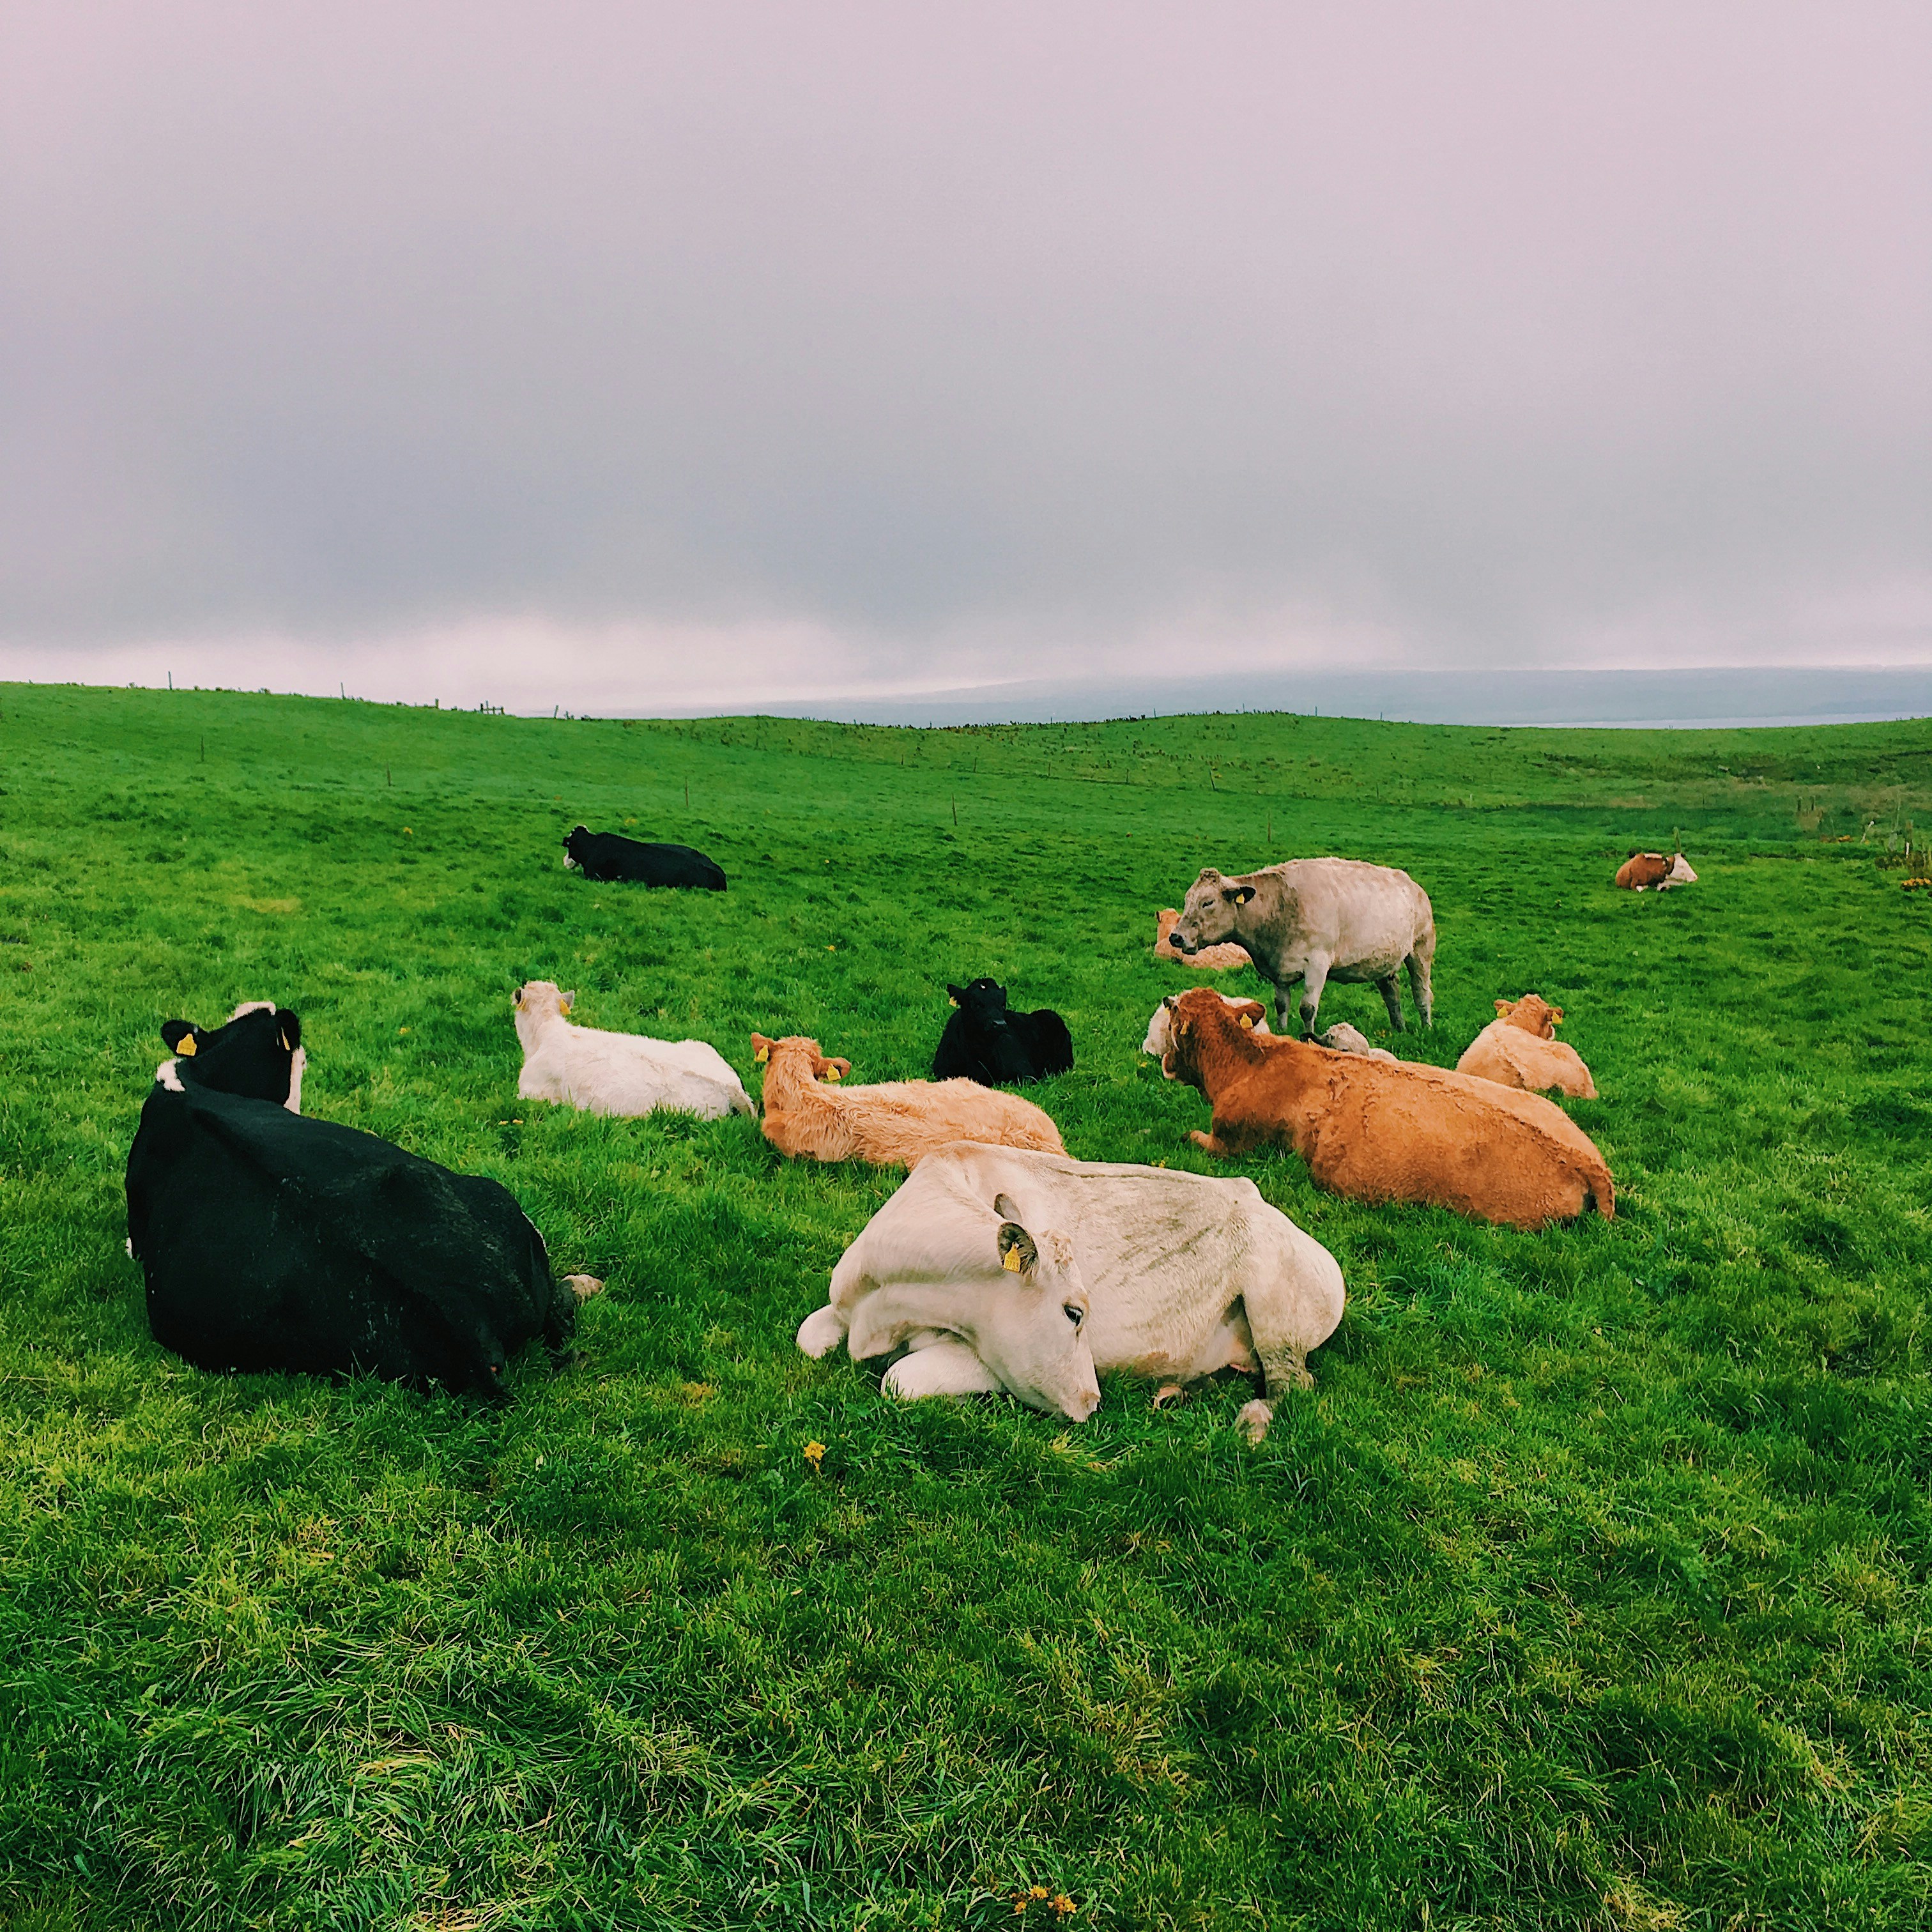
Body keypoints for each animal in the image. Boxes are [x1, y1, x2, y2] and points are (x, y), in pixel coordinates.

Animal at [795, 1143, 1346, 1443]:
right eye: (1075, 1313)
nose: (1094, 1400)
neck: (879, 1312)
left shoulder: (986, 1360)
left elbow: (899, 1380)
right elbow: (808, 1338)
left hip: (1278, 1317)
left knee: (1293, 1386)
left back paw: (1251, 1423)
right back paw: (1174, 1392)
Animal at [1169, 858, 1435, 1034]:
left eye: (1208, 902)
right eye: (1187, 900)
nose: (1176, 937)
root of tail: (1414, 885)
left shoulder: (1318, 963)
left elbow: (1307, 1008)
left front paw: (1309, 1036)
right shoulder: (1279, 968)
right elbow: (1281, 1004)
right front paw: (1282, 1031)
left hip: (1421, 949)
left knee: (1421, 991)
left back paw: (1426, 1027)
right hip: (1382, 961)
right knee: (1392, 993)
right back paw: (1399, 1027)